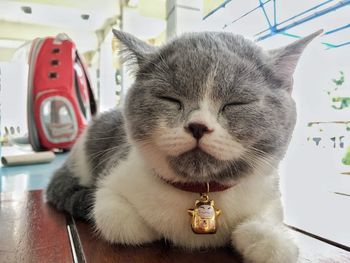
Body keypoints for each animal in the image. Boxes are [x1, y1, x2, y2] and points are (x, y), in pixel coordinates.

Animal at [46, 28, 322, 263]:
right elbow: (119, 222)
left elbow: (273, 237)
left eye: (237, 103)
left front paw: (271, 239)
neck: (199, 189)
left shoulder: (268, 192)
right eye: (170, 99)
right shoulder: (112, 180)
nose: (198, 126)